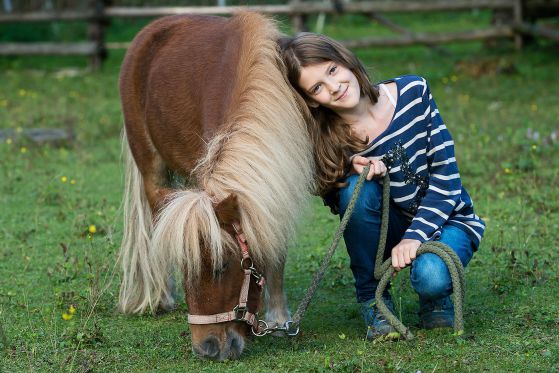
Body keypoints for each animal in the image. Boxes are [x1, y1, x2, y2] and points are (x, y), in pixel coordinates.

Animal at [118, 12, 316, 360]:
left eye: (222, 266)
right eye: (185, 270)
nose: (207, 348)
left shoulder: (278, 185)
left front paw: (279, 318)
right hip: (152, 171)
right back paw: (162, 296)